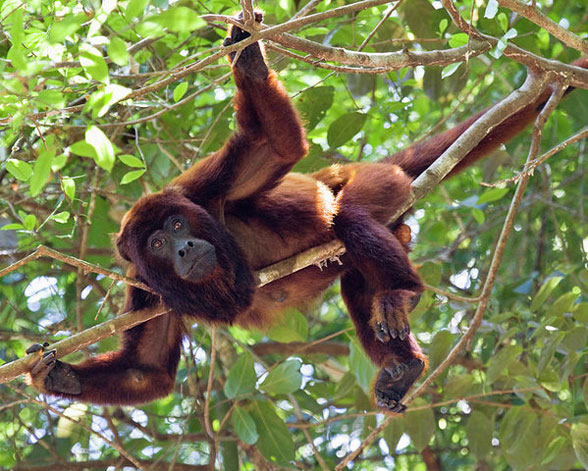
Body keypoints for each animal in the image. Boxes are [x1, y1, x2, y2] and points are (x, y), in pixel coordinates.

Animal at [25, 13, 584, 412]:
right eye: (158, 244)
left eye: (178, 224)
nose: (183, 248)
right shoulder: (144, 286)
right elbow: (147, 371)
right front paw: (58, 376)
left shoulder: (198, 189)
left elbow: (275, 146)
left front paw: (248, 55)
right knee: (359, 283)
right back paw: (403, 365)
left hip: (380, 183)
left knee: (352, 222)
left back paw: (400, 292)